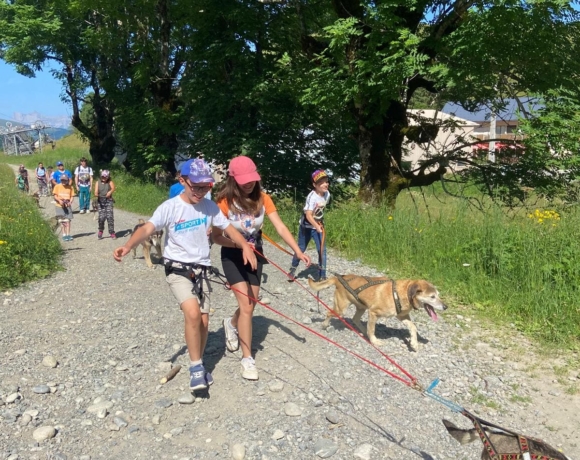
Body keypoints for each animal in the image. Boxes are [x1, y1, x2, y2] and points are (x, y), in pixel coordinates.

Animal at [308, 274, 448, 350]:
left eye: (438, 295)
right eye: (432, 297)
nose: (445, 306)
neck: (401, 293)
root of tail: (339, 278)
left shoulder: (402, 316)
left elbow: (413, 327)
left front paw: (414, 343)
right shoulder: (373, 313)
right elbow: (372, 330)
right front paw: (374, 341)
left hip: (361, 307)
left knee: (355, 319)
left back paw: (363, 331)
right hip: (342, 308)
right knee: (329, 313)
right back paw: (325, 325)